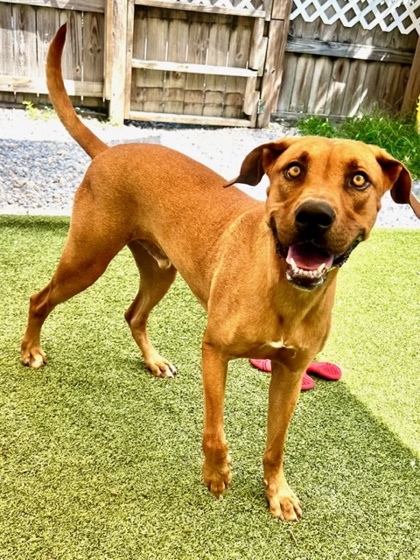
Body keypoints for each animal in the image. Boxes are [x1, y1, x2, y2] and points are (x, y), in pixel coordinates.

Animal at [21, 24, 418, 520]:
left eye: (359, 179)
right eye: (293, 169)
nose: (314, 216)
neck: (284, 292)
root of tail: (108, 151)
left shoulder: (290, 373)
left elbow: (276, 444)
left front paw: (277, 492)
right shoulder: (214, 352)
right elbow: (215, 428)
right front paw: (215, 474)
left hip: (160, 271)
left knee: (134, 314)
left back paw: (153, 361)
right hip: (87, 259)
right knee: (40, 299)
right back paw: (30, 351)